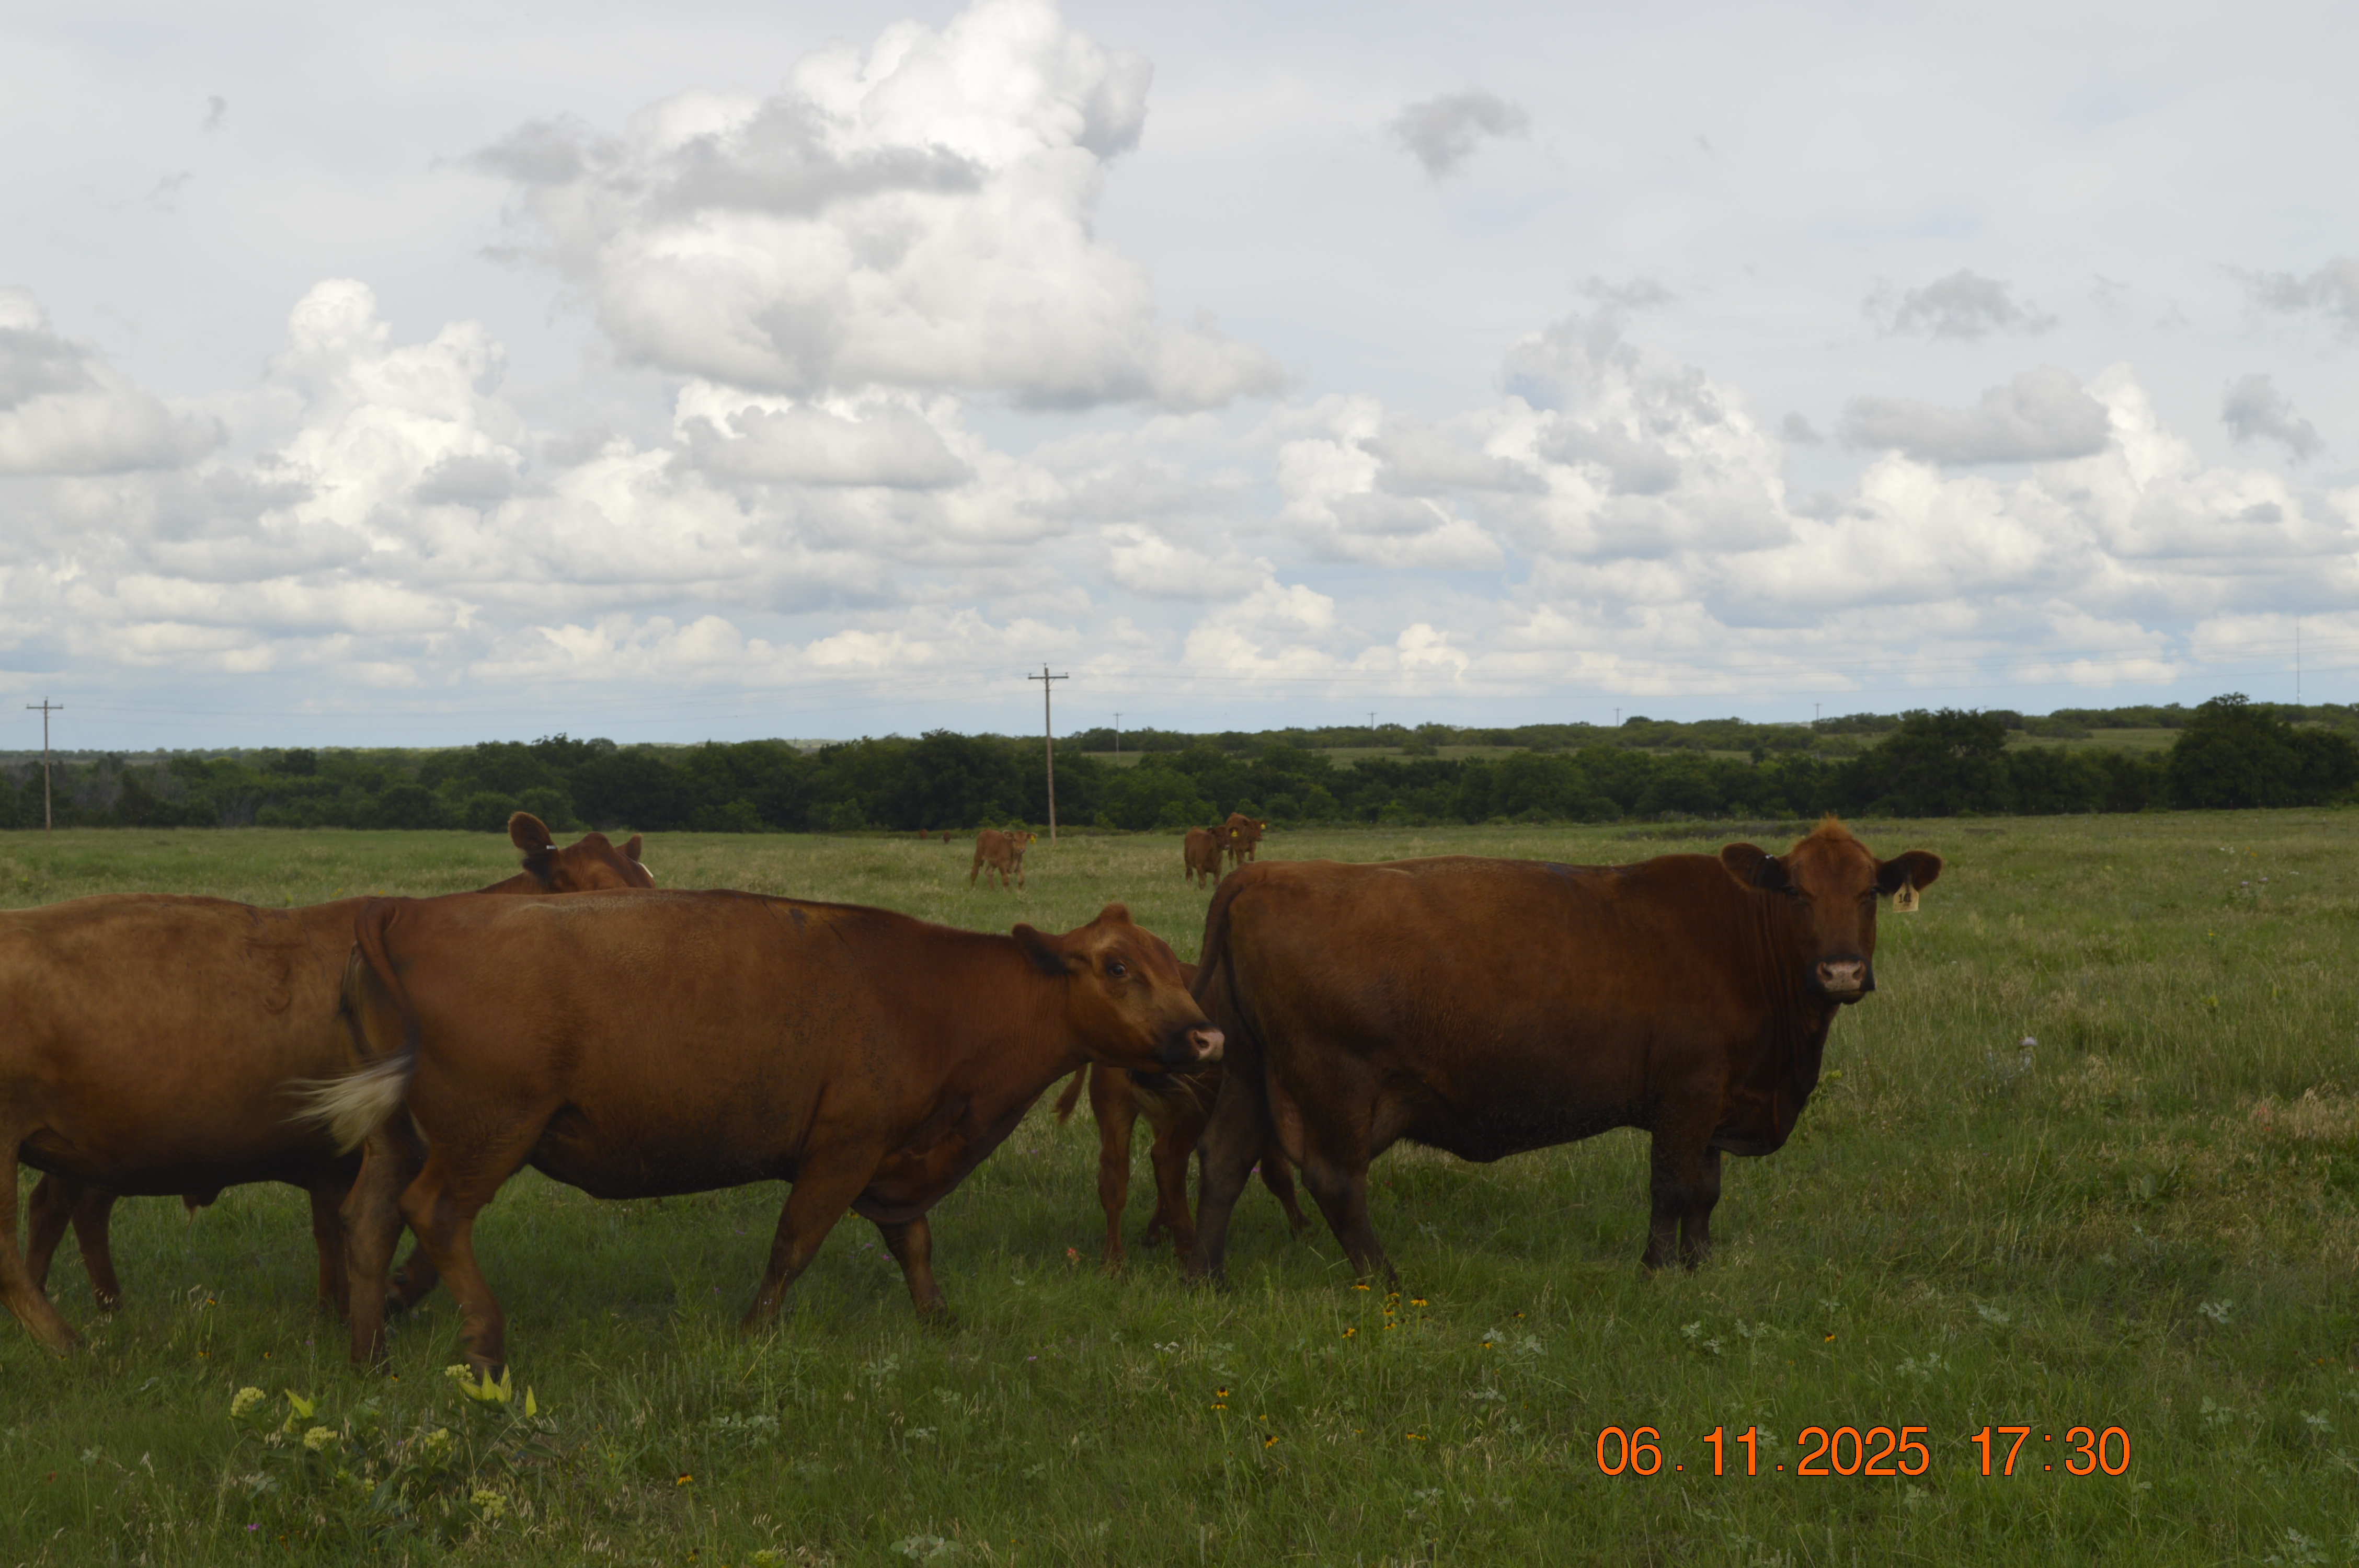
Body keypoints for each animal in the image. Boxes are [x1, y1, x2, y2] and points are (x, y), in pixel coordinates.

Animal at [0, 813, 655, 1353]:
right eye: (594, 884)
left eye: (646, 880)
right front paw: (374, 1309)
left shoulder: (340, 1158)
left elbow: (336, 1235)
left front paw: (341, 1312)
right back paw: (66, 1341)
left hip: (89, 1145)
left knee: (64, 1209)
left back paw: (99, 1307)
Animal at [307, 894, 1221, 1372]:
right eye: (1117, 967)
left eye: (1173, 964)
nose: (1209, 1036)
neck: (943, 995)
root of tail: (409, 912)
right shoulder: (844, 1149)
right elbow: (795, 1244)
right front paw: (754, 1332)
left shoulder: (896, 1156)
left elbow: (914, 1244)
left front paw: (938, 1319)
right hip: (487, 1135)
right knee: (436, 1214)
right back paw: (486, 1342)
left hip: (400, 1135)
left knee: (369, 1220)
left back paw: (369, 1352)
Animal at [1182, 819, 1941, 1288]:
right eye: (1798, 894)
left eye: (1869, 892)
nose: (1841, 972)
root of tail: (1264, 875)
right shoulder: (1687, 1094)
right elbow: (1673, 1187)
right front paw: (1656, 1271)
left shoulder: (1716, 1101)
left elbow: (1705, 1193)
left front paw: (1701, 1265)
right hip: (1337, 1082)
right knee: (1336, 1181)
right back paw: (1387, 1283)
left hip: (1246, 1071)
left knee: (1221, 1162)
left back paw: (1209, 1279)